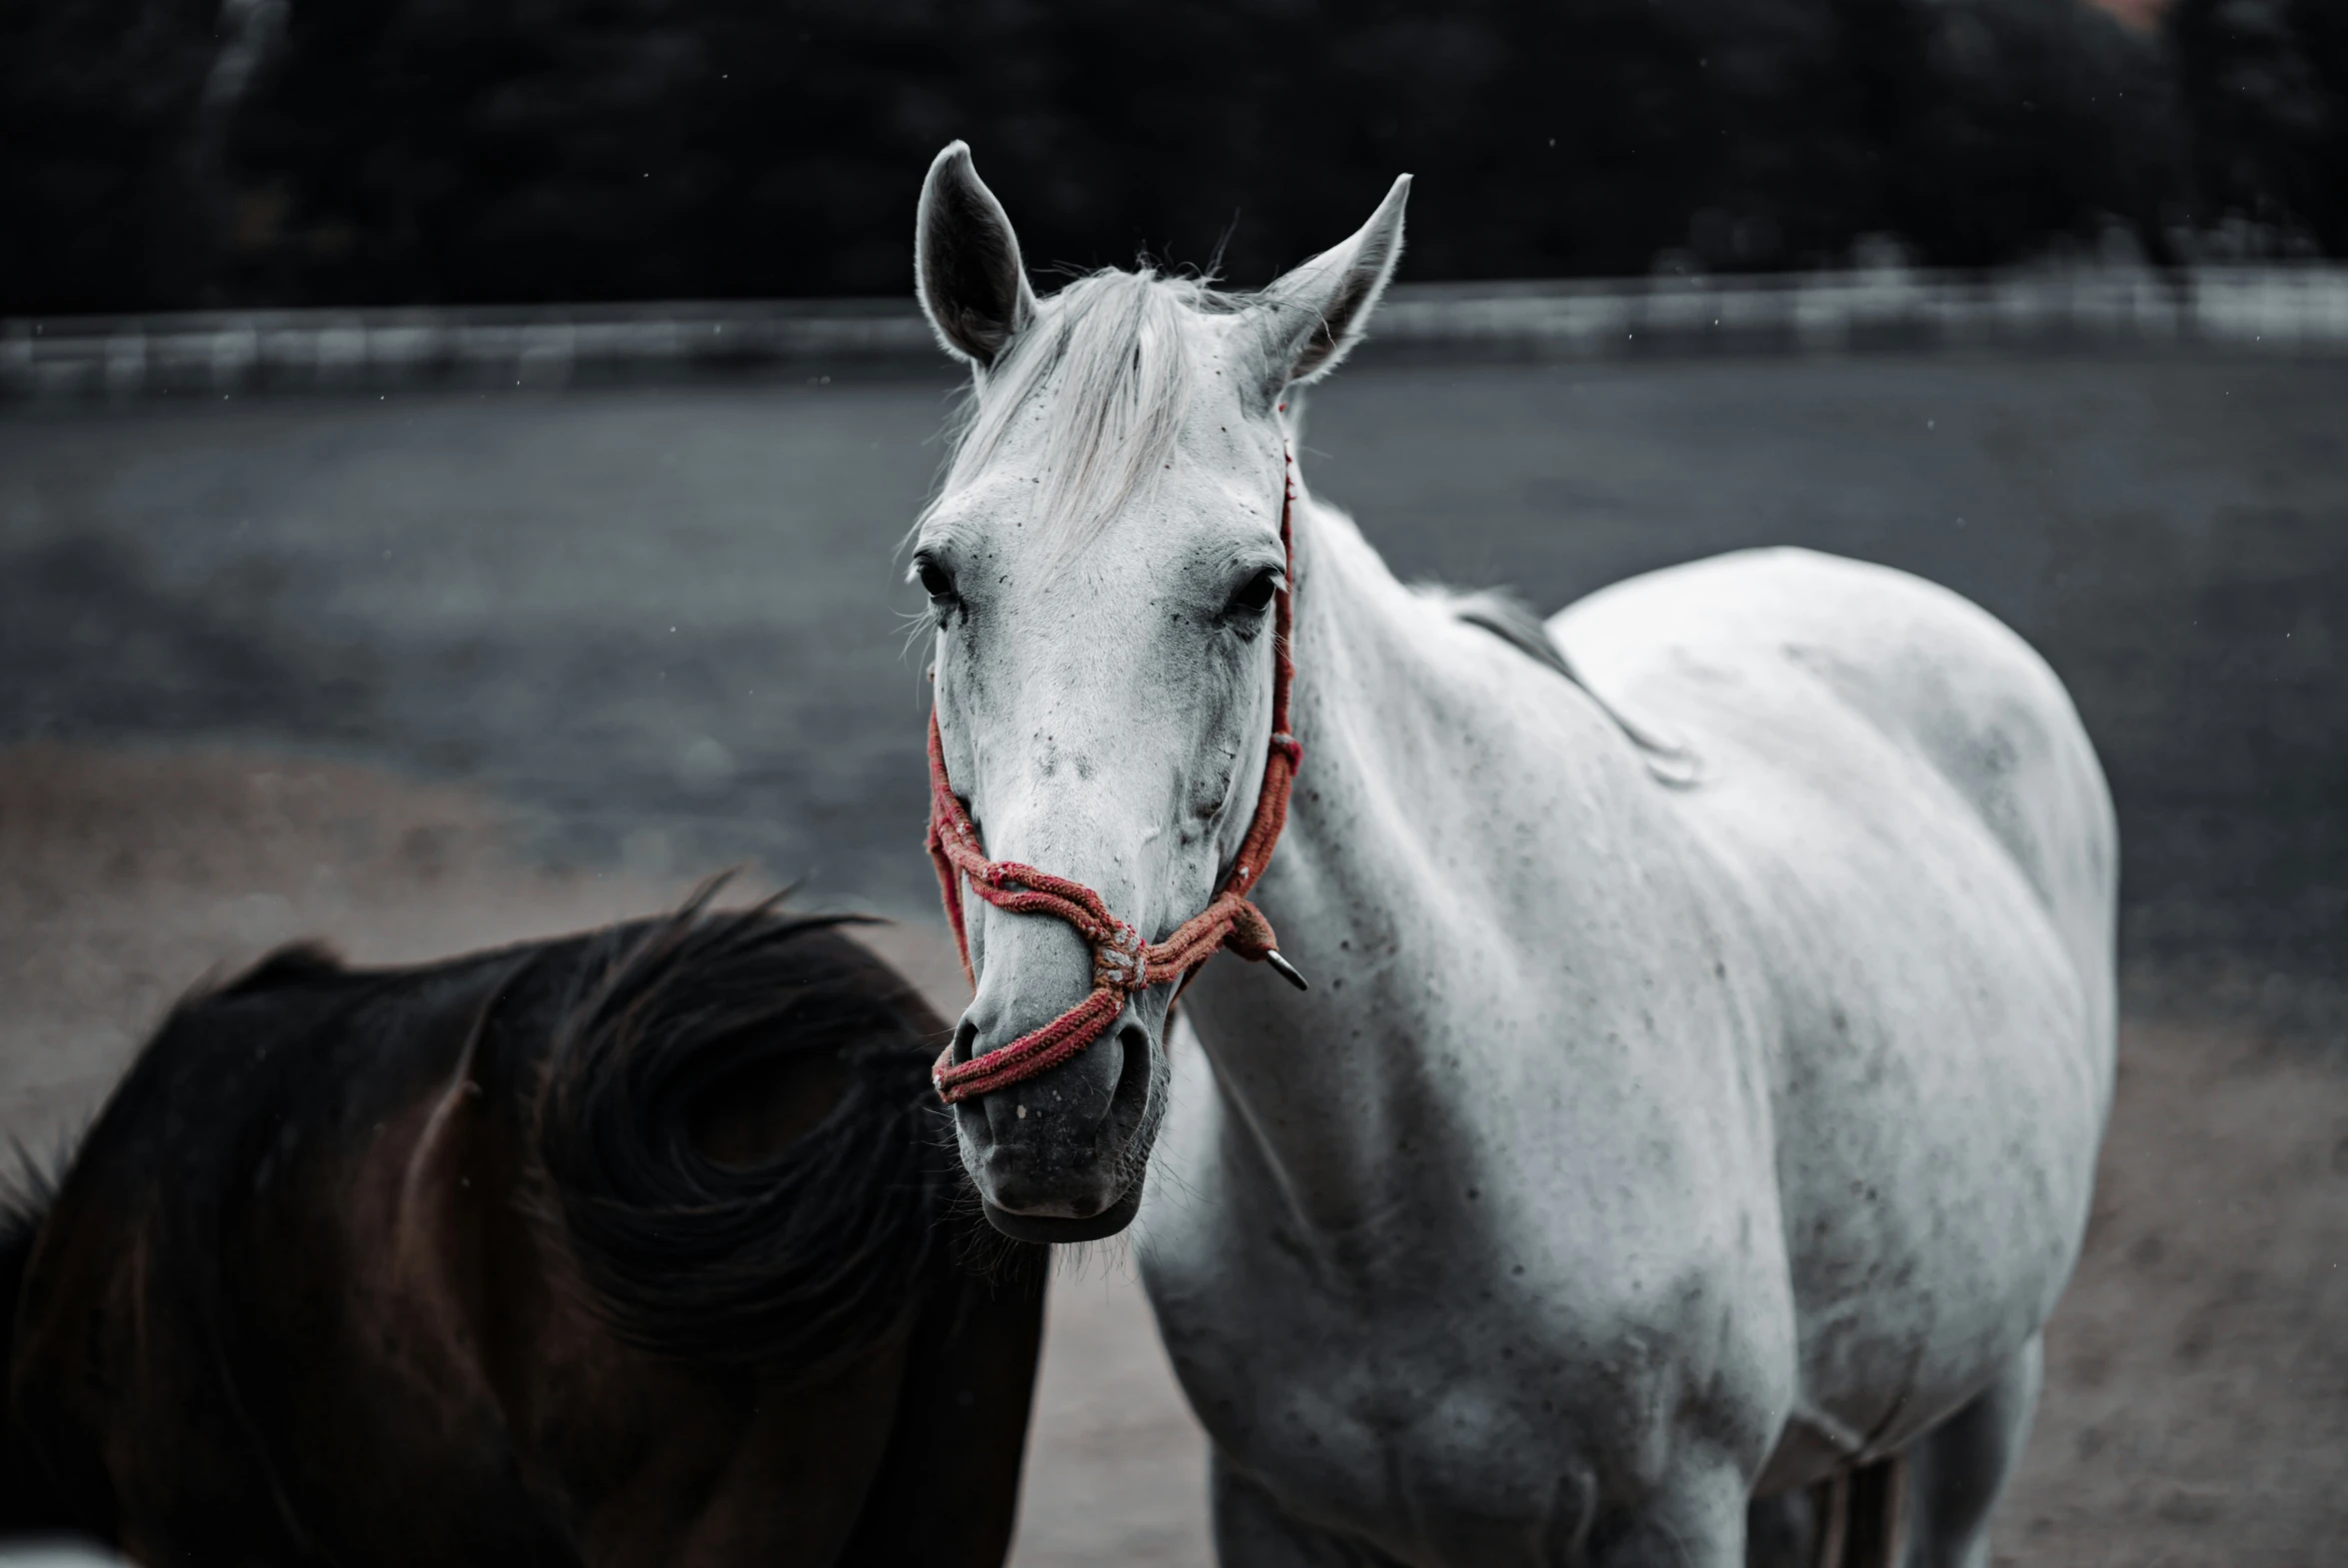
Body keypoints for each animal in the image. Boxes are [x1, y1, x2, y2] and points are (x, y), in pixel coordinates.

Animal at [897, 146, 2113, 1568]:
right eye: (941, 578)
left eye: (1255, 590)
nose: (1050, 1102)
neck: (1388, 1172)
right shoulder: (1266, 1506)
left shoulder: (1676, 1513)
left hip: (1992, 1385)